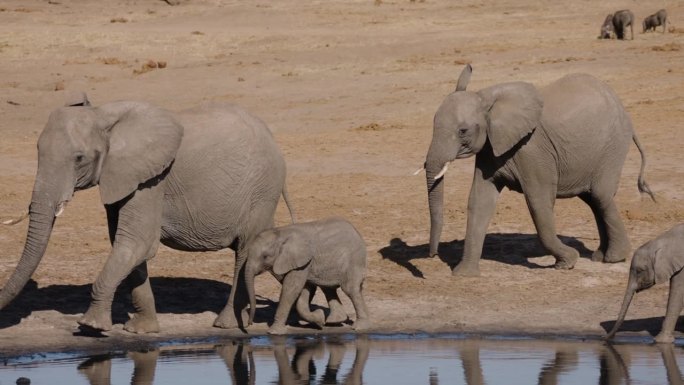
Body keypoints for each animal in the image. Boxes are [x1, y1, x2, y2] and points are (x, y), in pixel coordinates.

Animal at [0, 94, 292, 332]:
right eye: (38, 151)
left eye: (79, 158)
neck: (103, 116)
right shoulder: (122, 178)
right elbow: (126, 246)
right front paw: (141, 331)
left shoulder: (151, 180)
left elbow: (137, 242)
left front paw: (90, 326)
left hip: (261, 190)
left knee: (244, 251)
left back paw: (225, 324)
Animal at [420, 66, 656, 276]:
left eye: (463, 131)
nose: (432, 256)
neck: (485, 99)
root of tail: (623, 110)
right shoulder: (490, 147)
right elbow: (480, 201)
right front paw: (464, 274)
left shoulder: (532, 150)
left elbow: (538, 202)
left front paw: (567, 263)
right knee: (593, 200)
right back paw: (599, 256)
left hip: (613, 146)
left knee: (600, 195)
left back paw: (614, 257)